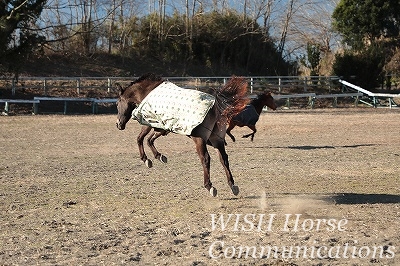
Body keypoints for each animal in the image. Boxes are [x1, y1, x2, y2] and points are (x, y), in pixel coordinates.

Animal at [114, 74, 248, 196]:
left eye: (117, 103)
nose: (118, 124)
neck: (147, 92)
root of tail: (216, 104)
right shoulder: (163, 127)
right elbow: (150, 140)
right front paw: (159, 156)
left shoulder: (148, 122)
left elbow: (140, 138)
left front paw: (146, 159)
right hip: (217, 139)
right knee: (223, 158)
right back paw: (232, 185)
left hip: (200, 139)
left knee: (205, 159)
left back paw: (209, 186)